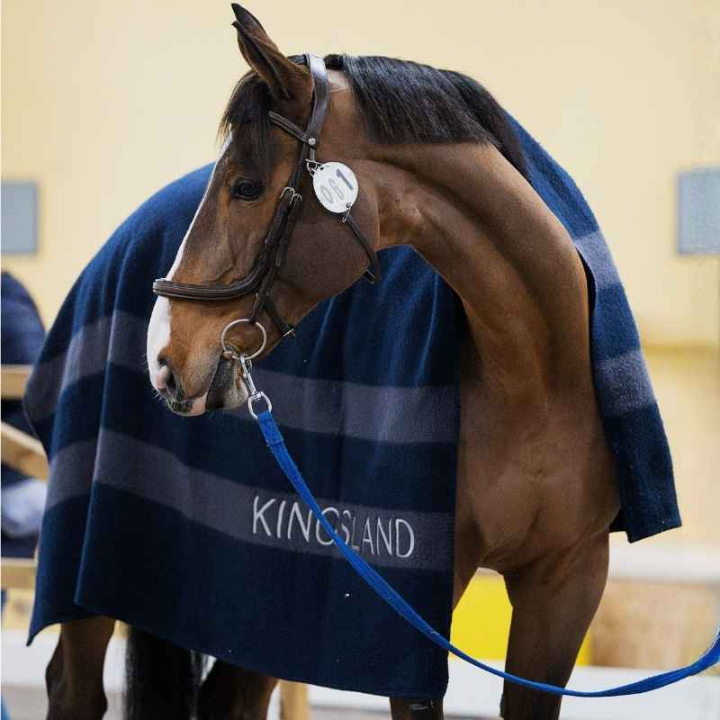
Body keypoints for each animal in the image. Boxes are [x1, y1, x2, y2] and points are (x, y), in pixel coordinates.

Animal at [44, 4, 621, 720]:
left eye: (246, 186)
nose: (164, 357)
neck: (533, 372)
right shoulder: (411, 605)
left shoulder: (567, 585)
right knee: (74, 688)